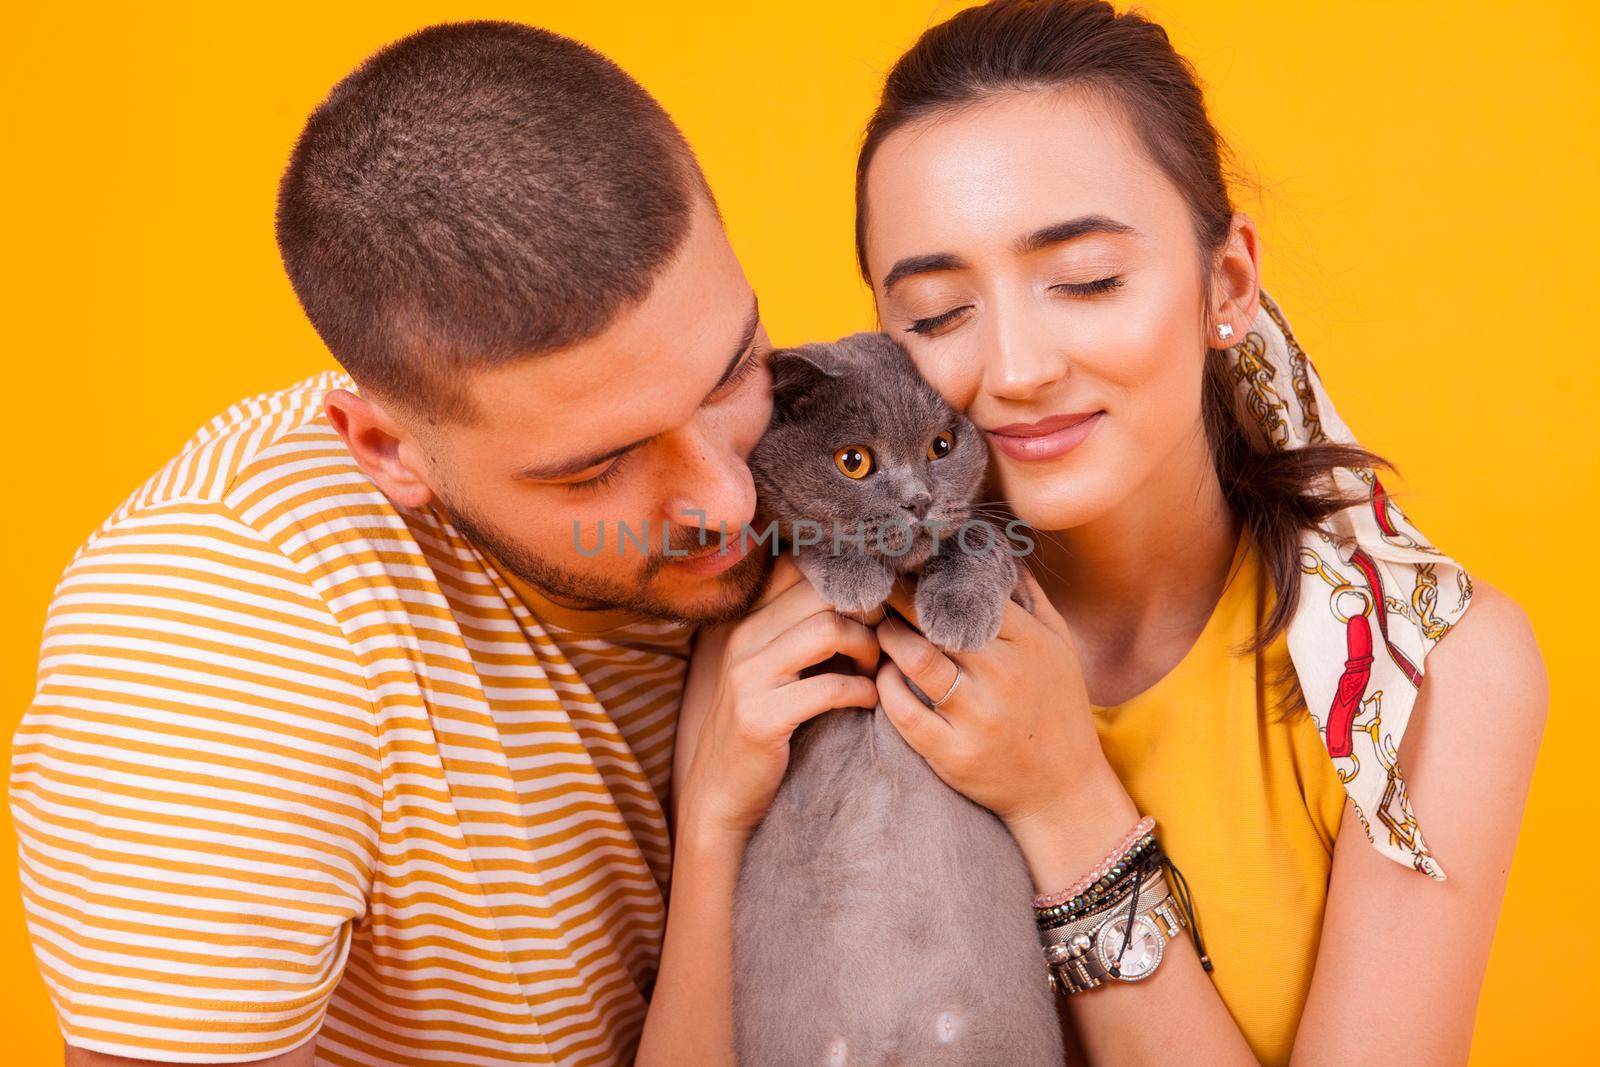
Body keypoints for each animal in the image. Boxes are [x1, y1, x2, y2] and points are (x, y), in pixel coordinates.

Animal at [732, 334, 1062, 1067]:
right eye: (853, 461)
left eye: (942, 446)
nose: (917, 499)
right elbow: (800, 541)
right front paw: (851, 576)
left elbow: (981, 537)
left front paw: (957, 608)